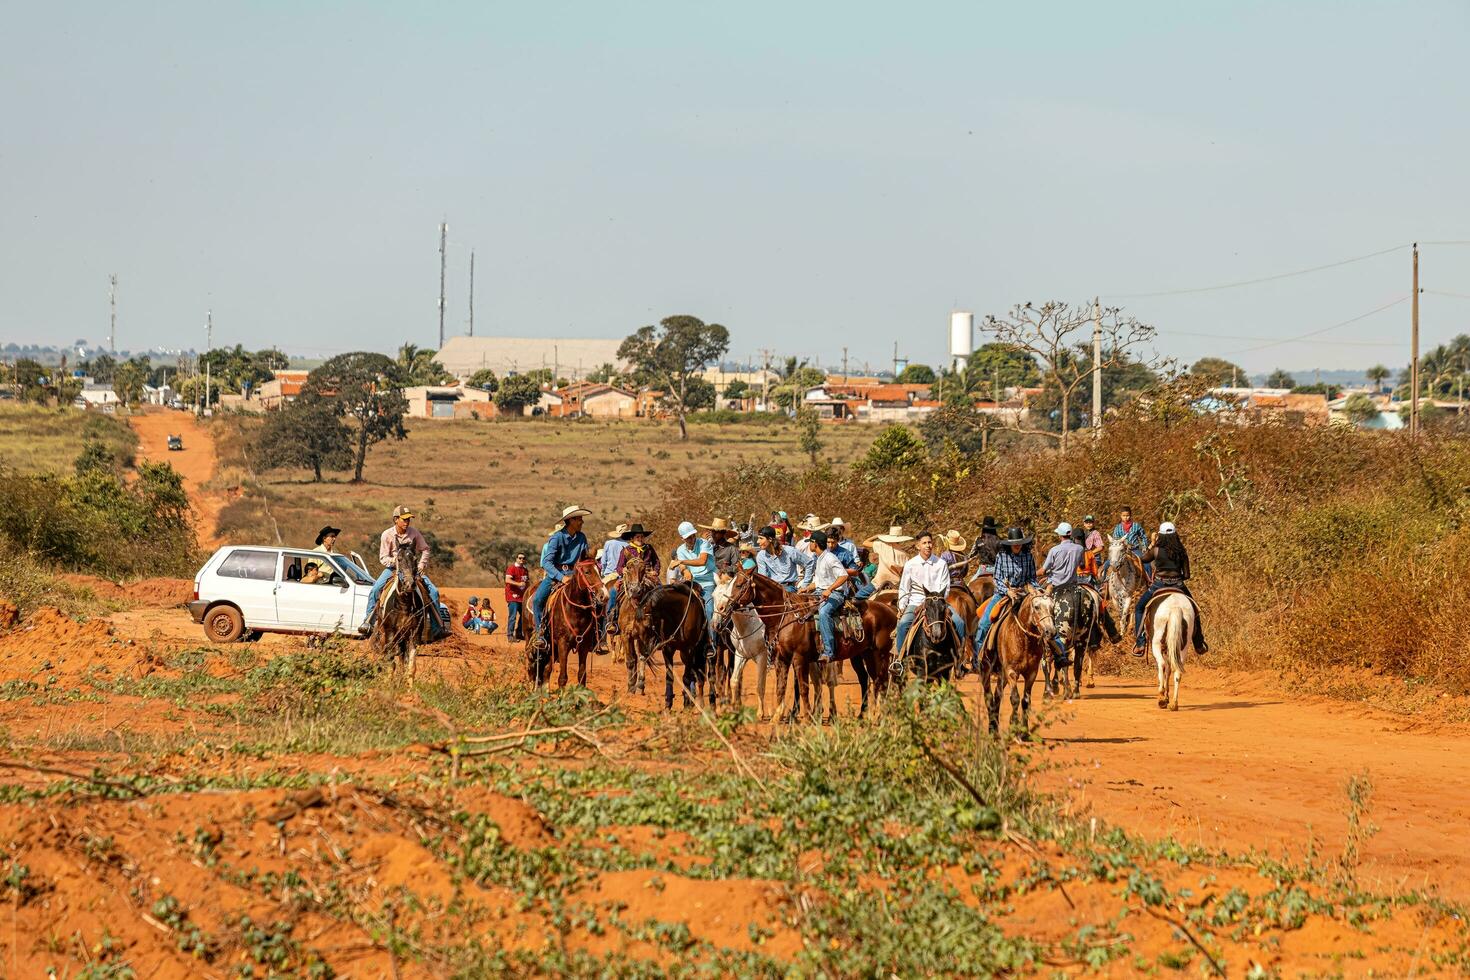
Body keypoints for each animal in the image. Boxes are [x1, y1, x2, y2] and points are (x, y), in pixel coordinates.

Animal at [529, 558, 602, 690]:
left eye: (600, 570)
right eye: (587, 572)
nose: (604, 595)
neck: (576, 611)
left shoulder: (584, 645)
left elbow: (582, 675)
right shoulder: (563, 643)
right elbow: (563, 678)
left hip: (552, 645)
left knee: (547, 669)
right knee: (533, 664)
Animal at [723, 567, 893, 719]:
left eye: (739, 585)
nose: (724, 607)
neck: (786, 616)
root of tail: (890, 610)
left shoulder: (799, 658)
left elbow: (803, 687)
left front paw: (808, 717)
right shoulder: (781, 658)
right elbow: (781, 686)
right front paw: (777, 716)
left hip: (881, 654)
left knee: (882, 681)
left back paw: (879, 715)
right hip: (865, 654)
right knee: (871, 680)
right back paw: (864, 715)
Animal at [976, 590, 1058, 743]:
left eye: (1052, 606)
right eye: (1036, 607)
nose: (1051, 631)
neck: (1024, 639)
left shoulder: (1031, 673)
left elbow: (1025, 701)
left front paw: (1024, 732)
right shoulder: (1011, 671)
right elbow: (1014, 698)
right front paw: (1014, 729)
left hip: (1002, 675)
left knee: (997, 696)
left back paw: (995, 730)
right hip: (986, 669)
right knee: (989, 697)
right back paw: (992, 731)